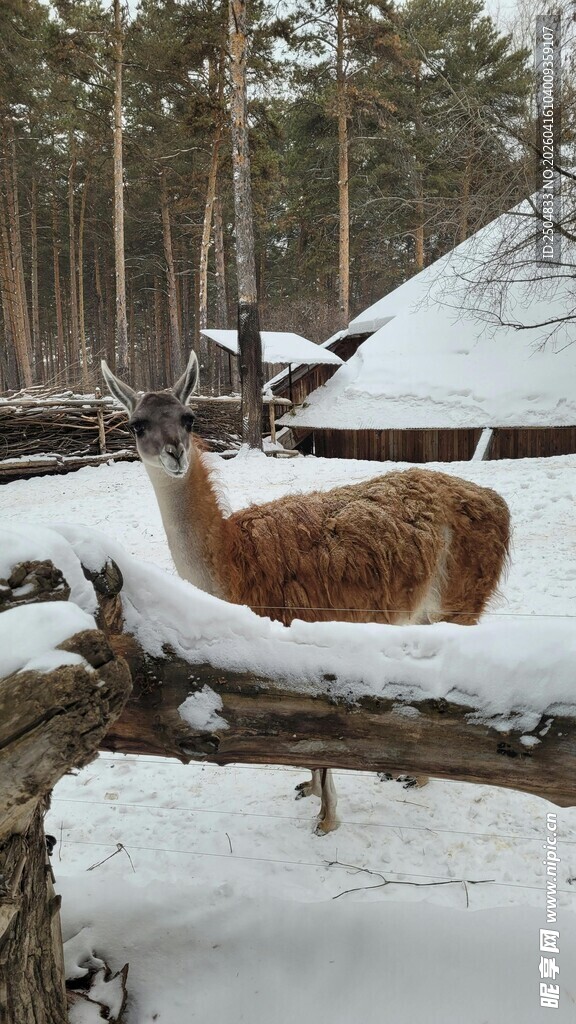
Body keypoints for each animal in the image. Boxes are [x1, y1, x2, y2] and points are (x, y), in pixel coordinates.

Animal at [101, 351, 510, 835]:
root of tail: (495, 500)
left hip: (460, 601)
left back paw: (417, 776)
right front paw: (310, 789)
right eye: (137, 424)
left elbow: (318, 737)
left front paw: (327, 818)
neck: (232, 556)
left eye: (189, 417)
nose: (175, 452)